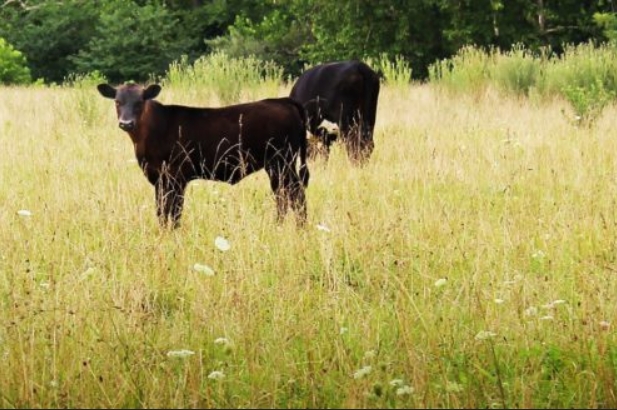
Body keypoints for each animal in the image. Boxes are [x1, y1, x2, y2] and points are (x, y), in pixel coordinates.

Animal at [97, 83, 308, 229]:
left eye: (140, 102)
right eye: (117, 101)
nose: (126, 123)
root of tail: (282, 101)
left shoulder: (176, 176)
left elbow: (175, 210)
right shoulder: (158, 178)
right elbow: (161, 210)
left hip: (282, 162)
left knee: (294, 194)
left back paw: (299, 227)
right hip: (276, 166)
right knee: (282, 195)